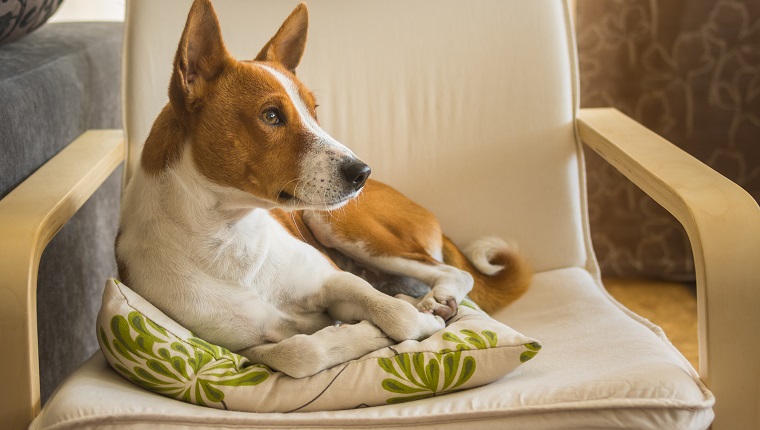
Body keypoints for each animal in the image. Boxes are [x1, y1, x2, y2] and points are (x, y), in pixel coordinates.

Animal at [117, 0, 528, 376]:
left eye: (314, 112)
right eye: (271, 116)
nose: (362, 172)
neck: (230, 240)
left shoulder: (334, 279)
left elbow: (396, 313)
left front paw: (413, 318)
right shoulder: (246, 347)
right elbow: (301, 352)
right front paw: (365, 334)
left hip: (336, 225)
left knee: (453, 273)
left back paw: (438, 298)